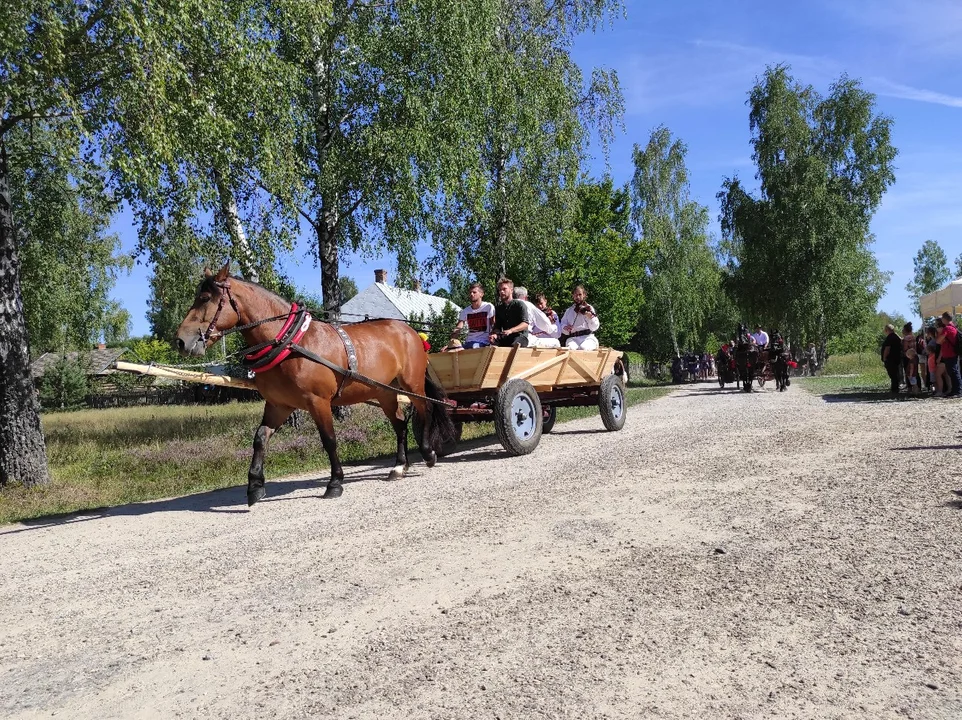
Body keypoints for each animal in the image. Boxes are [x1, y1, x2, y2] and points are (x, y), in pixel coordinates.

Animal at [175, 262, 454, 504]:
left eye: (205, 298)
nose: (181, 341)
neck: (291, 342)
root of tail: (410, 332)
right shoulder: (279, 405)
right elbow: (260, 438)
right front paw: (254, 486)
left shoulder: (318, 402)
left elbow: (329, 440)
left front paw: (335, 483)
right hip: (384, 391)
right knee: (399, 423)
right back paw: (398, 466)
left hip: (411, 384)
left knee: (425, 411)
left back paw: (428, 453)